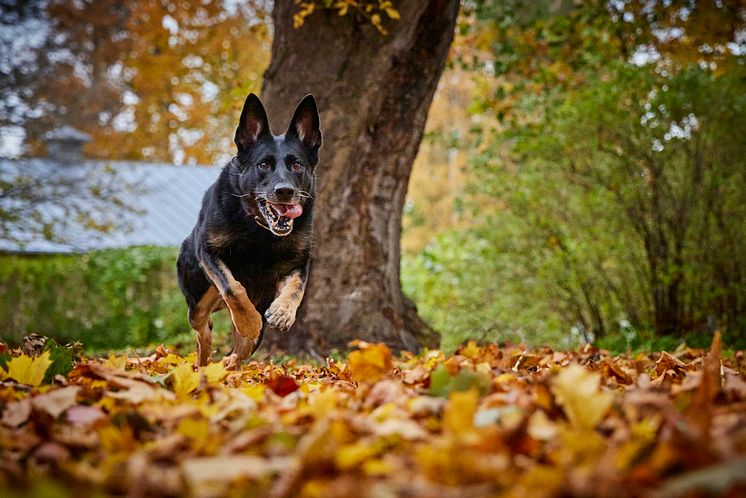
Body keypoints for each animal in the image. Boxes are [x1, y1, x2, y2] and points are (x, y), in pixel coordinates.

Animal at [179, 93, 322, 368]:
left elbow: (297, 287)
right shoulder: (209, 252)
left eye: (297, 166)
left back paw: (227, 365)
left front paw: (283, 312)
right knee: (204, 331)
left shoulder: (299, 262)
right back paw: (205, 363)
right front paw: (249, 321)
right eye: (263, 165)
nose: (284, 191)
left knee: (240, 351)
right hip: (197, 303)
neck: (260, 232)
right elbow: (233, 288)